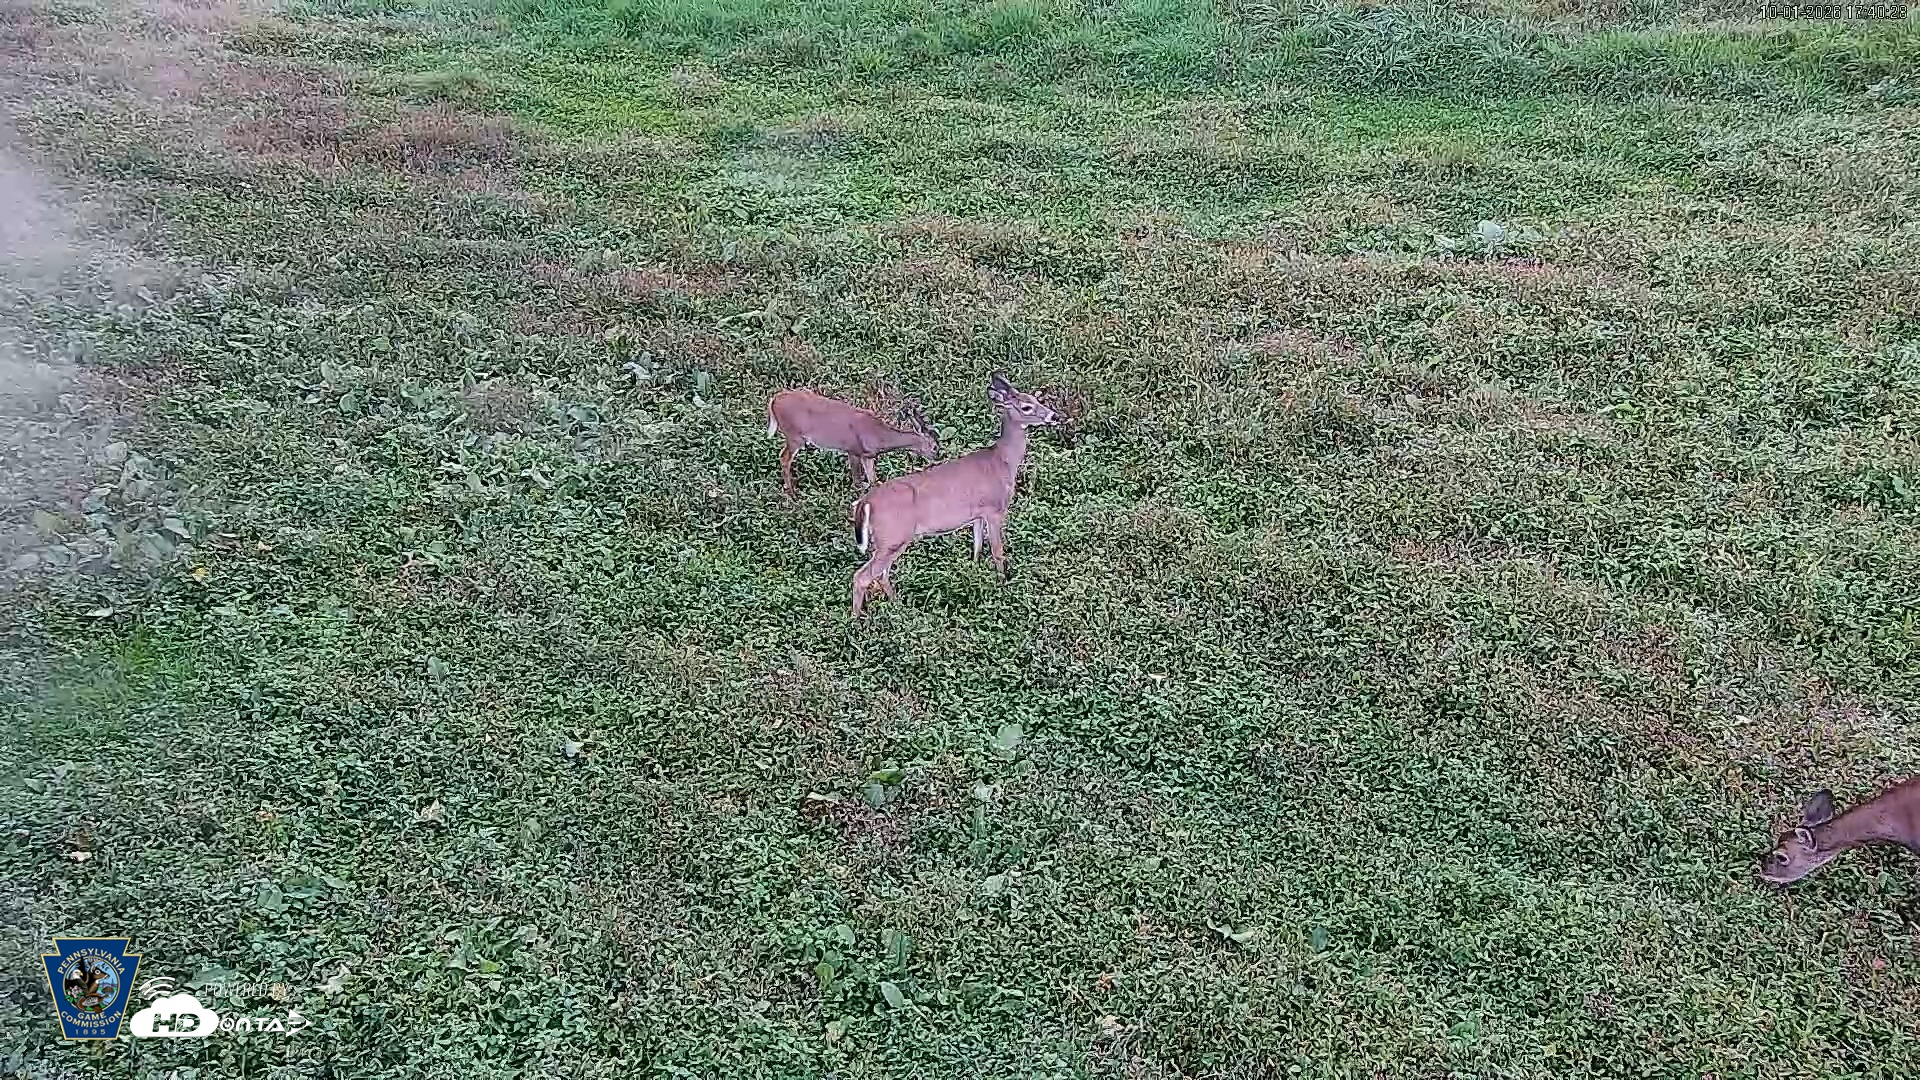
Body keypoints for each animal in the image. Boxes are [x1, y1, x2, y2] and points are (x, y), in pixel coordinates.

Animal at [766, 389, 938, 497]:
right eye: (935, 447)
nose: (936, 458)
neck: (878, 435)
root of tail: (773, 400)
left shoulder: (868, 456)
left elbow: (873, 481)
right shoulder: (853, 450)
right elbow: (858, 482)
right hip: (794, 435)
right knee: (784, 458)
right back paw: (792, 494)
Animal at [848, 373, 1057, 616]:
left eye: (1036, 398)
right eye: (1026, 407)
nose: (1054, 416)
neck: (1002, 462)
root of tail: (866, 502)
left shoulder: (977, 514)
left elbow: (977, 546)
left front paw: (974, 573)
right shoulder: (995, 509)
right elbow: (997, 550)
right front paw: (1003, 584)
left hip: (888, 541)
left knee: (881, 574)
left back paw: (899, 606)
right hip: (893, 537)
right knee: (863, 576)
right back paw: (858, 620)